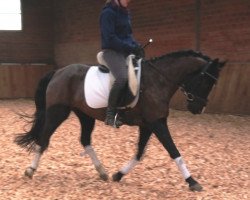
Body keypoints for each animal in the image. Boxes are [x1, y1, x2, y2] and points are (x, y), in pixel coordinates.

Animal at [15, 49, 227, 191]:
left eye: (214, 83)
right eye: (205, 80)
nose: (198, 108)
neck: (158, 81)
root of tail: (58, 72)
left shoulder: (149, 124)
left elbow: (139, 153)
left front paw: (119, 174)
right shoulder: (157, 123)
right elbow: (174, 151)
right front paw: (193, 182)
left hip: (85, 115)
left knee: (85, 140)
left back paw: (102, 172)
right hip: (58, 112)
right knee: (44, 138)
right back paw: (31, 170)